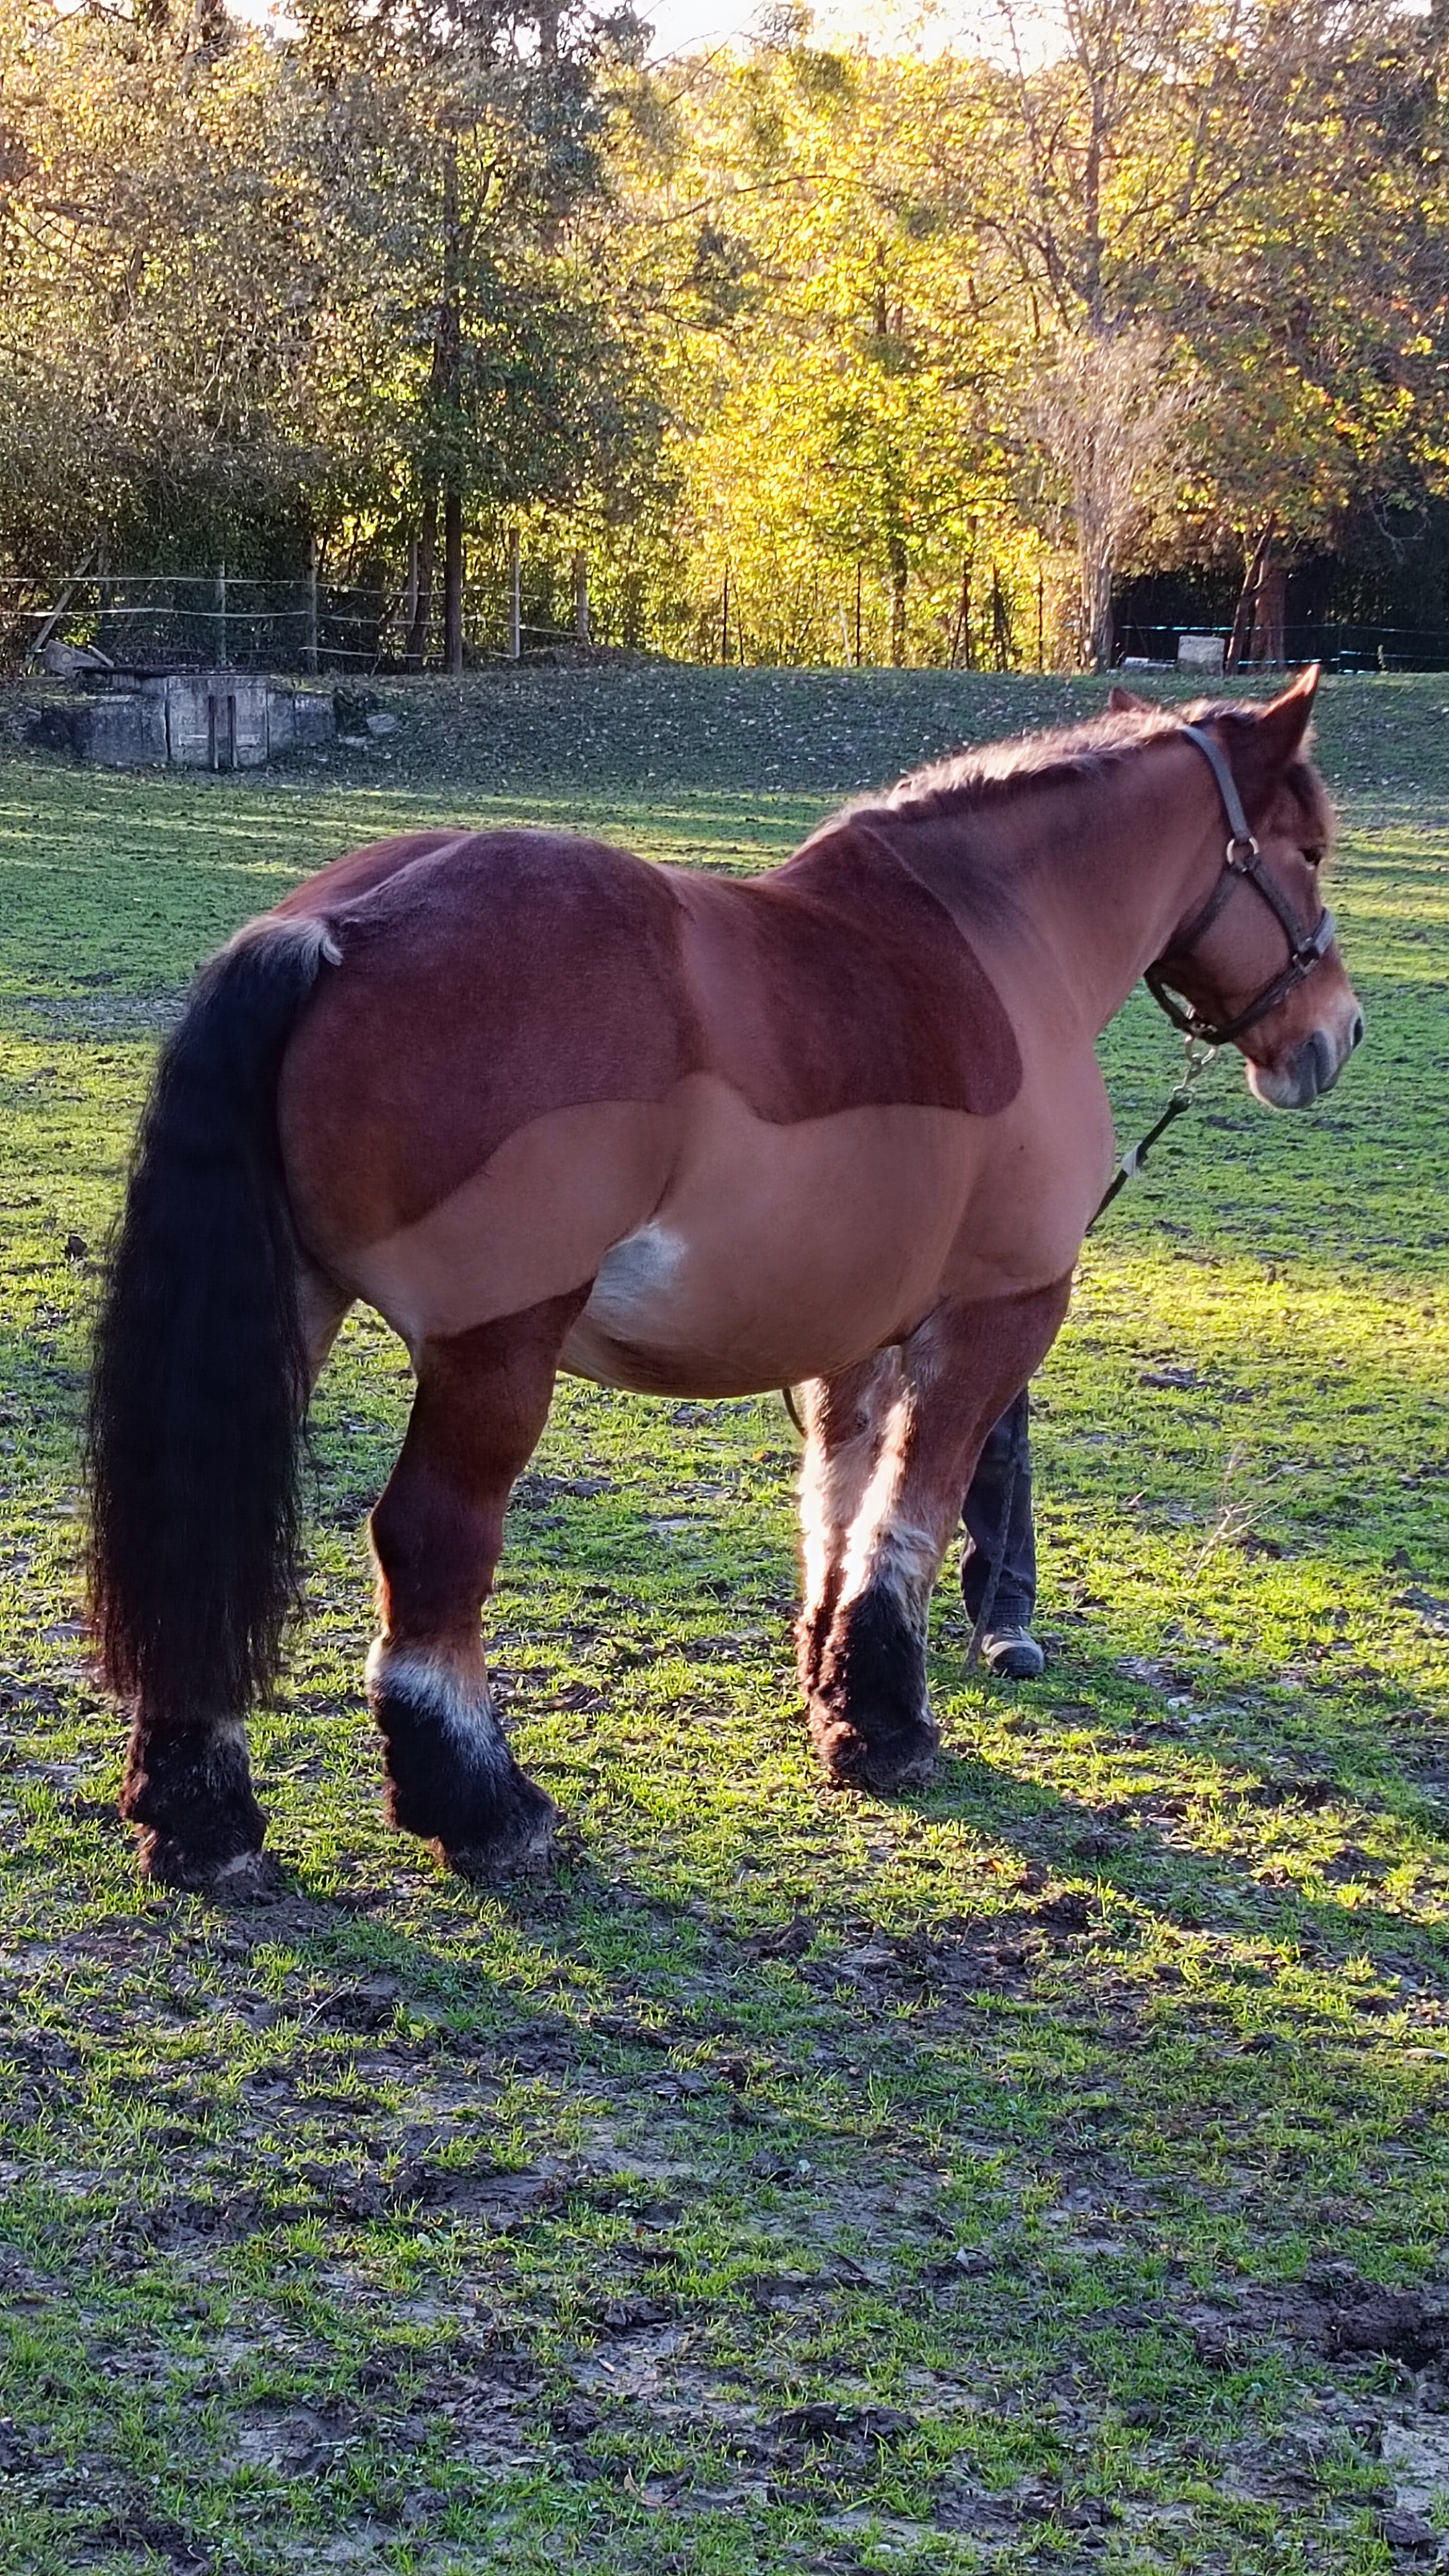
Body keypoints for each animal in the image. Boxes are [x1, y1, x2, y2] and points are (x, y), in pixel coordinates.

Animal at [84, 666, 1361, 1896]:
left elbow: (835, 1509)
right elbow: (911, 1515)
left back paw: (201, 1819)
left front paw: (835, 1694)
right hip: (493, 1348)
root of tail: (337, 923)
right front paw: (888, 1726)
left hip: (289, 1310)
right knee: (430, 1543)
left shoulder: (853, 1334)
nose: (1336, 1030)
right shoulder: (997, 1317)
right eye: (1307, 849)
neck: (995, 941)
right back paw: (485, 1810)